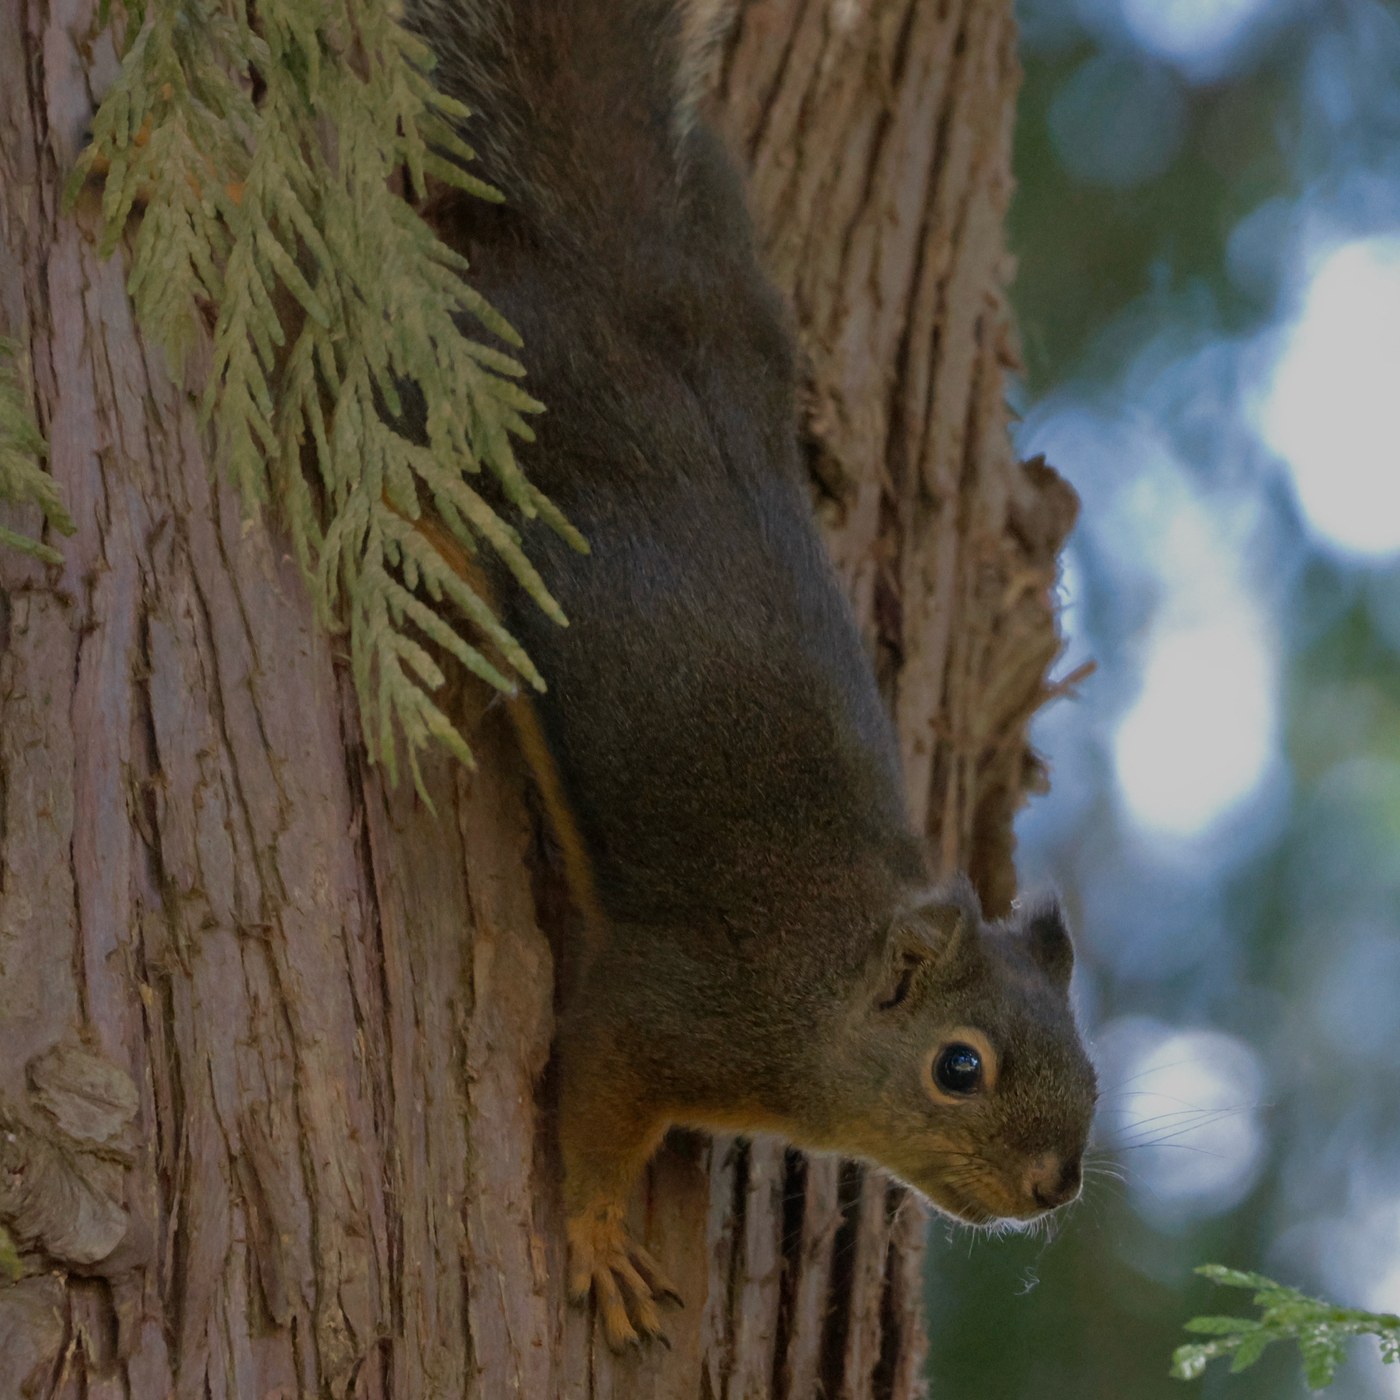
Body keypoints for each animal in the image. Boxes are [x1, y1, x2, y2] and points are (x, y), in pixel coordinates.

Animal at [405, 0, 1099, 1350]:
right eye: (958, 1067)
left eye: (1088, 1067)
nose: (1056, 1184)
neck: (825, 977)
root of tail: (610, 246)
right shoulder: (674, 1005)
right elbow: (592, 1093)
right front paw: (596, 1235)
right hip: (500, 365)